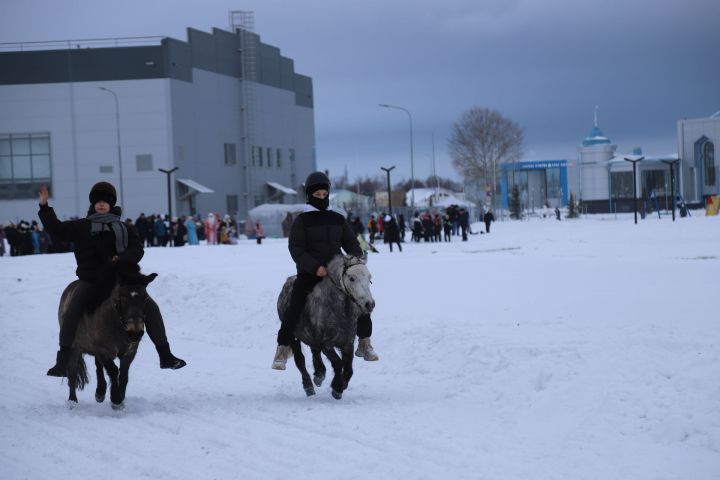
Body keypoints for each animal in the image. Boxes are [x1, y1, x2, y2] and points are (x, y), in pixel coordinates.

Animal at [59, 270, 158, 408]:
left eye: (145, 298)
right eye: (123, 298)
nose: (135, 333)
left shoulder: (130, 351)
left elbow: (123, 375)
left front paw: (120, 398)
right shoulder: (102, 349)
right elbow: (113, 370)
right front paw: (116, 400)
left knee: (98, 365)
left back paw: (100, 392)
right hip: (75, 347)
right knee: (72, 370)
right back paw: (73, 401)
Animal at [278, 253, 376, 400]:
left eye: (369, 278)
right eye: (352, 278)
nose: (369, 304)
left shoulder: (347, 343)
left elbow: (349, 368)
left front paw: (342, 385)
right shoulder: (326, 344)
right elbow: (338, 363)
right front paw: (337, 387)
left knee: (314, 352)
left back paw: (319, 374)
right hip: (293, 338)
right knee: (300, 360)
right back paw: (308, 386)